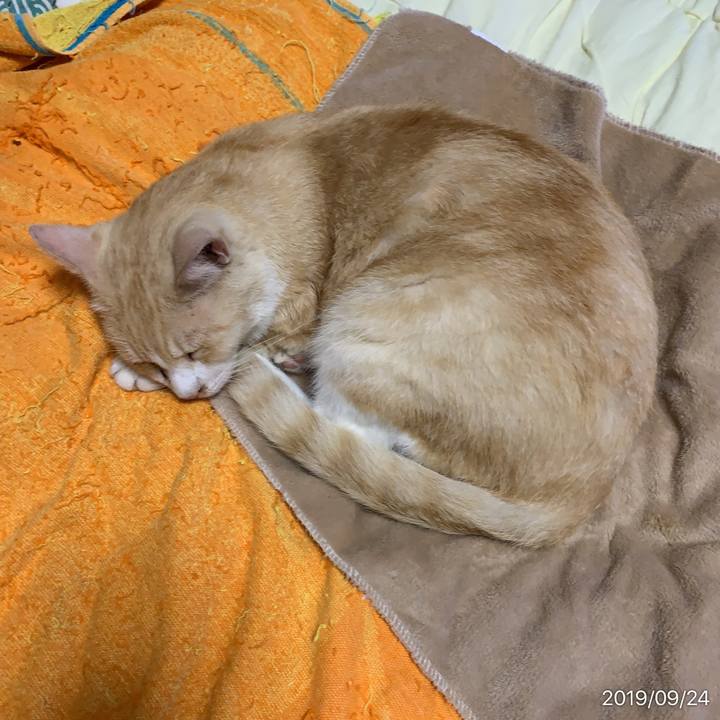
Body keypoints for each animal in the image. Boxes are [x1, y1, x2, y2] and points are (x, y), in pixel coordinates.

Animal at [30, 106, 658, 546]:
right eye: (157, 360)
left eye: (193, 349)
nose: (184, 393)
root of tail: (581, 496)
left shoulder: (298, 312)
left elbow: (260, 347)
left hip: (369, 324)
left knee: (349, 428)